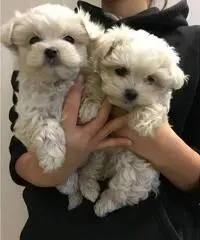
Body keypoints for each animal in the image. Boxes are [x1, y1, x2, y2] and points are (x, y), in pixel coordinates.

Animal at [0, 4, 90, 209]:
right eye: (34, 40)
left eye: (69, 39)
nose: (51, 50)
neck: (55, 82)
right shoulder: (29, 114)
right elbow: (47, 126)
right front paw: (52, 159)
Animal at [76, 10, 186, 218]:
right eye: (120, 70)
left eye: (151, 79)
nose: (131, 93)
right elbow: (96, 87)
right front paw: (89, 107)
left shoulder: (160, 103)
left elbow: (155, 107)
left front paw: (142, 122)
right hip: (96, 152)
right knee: (89, 169)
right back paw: (89, 189)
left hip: (136, 169)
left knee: (122, 190)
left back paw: (104, 205)